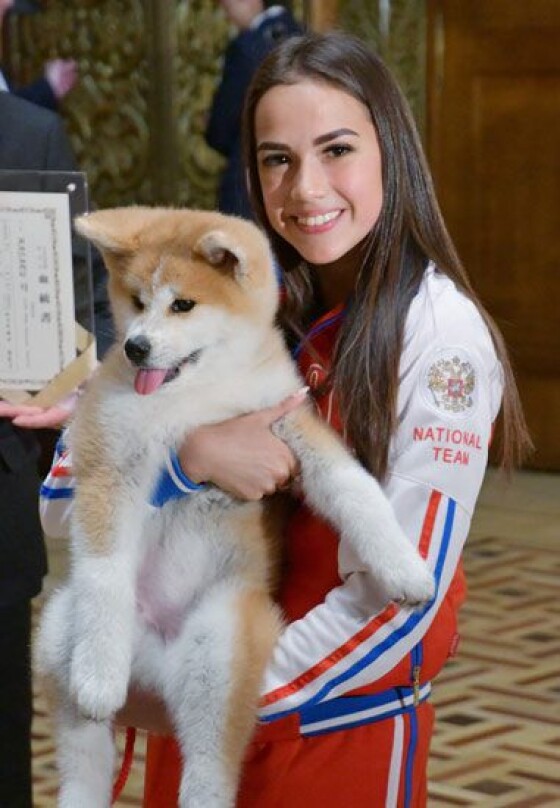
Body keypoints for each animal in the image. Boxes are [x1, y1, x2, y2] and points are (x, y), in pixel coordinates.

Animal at [37, 210, 436, 808]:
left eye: (183, 305)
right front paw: (99, 675)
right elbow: (104, 576)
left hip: (221, 642)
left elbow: (356, 489)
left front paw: (406, 567)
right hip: (62, 626)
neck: (197, 398)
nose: (135, 347)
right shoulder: (106, 459)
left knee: (210, 761)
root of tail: (154, 666)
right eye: (136, 300)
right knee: (85, 760)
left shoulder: (290, 420)